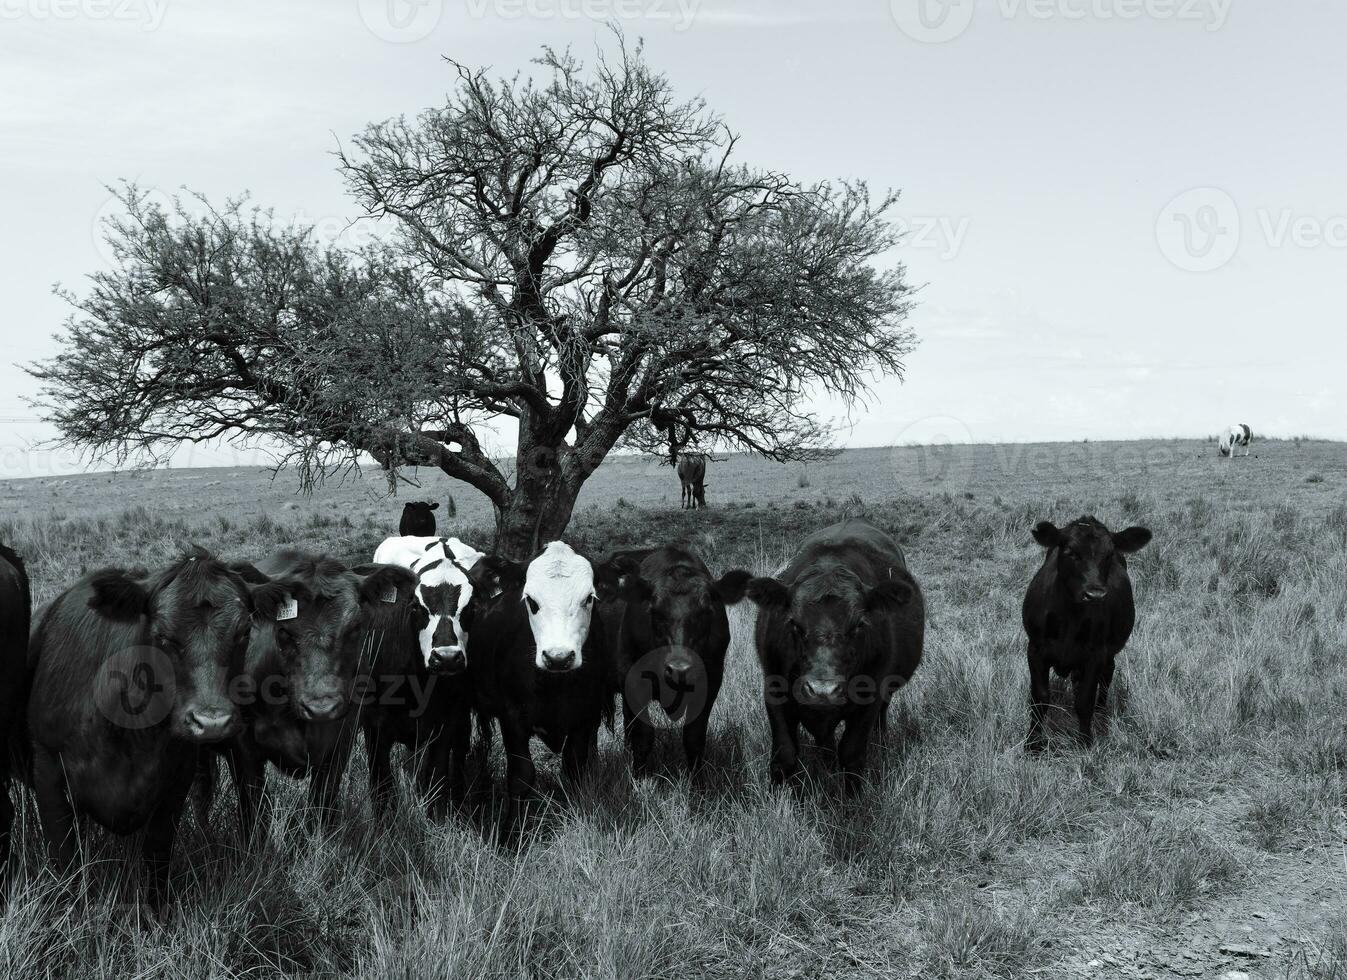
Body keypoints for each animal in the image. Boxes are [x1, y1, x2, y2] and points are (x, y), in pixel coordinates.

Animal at [25, 546, 278, 904]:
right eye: (162, 636)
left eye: (244, 633)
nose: (211, 722)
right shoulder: (49, 776)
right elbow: (66, 862)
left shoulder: (176, 783)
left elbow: (157, 856)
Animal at [463, 538, 611, 840]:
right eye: (531, 600)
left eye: (588, 598)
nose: (558, 657)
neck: (555, 685)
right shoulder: (512, 717)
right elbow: (521, 775)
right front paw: (511, 835)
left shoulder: (585, 716)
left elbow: (575, 767)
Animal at [598, 546, 754, 775]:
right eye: (655, 611)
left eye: (706, 611)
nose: (680, 669)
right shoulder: (633, 680)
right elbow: (643, 736)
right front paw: (640, 777)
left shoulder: (711, 680)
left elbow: (694, 737)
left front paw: (696, 780)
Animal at [738, 516, 926, 791]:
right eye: (794, 624)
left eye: (858, 625)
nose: (822, 691)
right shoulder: (774, 690)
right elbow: (784, 754)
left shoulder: (869, 697)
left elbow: (852, 752)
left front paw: (853, 796)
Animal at [1023, 514, 1153, 748]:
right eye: (1070, 552)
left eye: (1109, 554)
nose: (1095, 595)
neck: (1069, 619)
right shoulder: (1035, 649)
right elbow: (1040, 698)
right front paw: (1033, 743)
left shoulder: (1095, 654)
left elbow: (1085, 700)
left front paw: (1085, 743)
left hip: (1108, 651)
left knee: (1107, 675)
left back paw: (1101, 713)